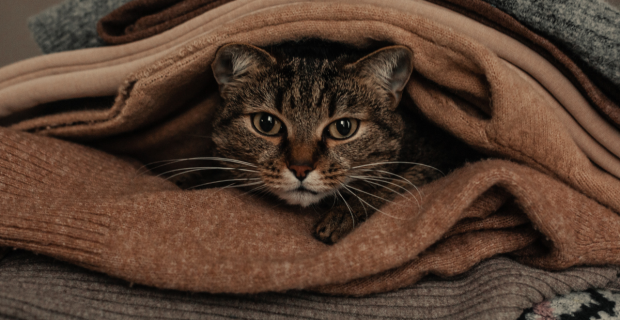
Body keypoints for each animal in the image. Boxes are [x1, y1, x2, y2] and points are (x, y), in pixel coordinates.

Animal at [174, 40, 480, 245]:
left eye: (343, 128)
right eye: (266, 123)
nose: (300, 168)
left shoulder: (440, 156)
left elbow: (397, 185)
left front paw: (342, 216)